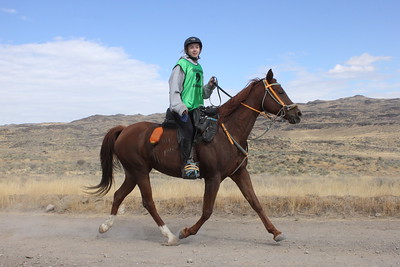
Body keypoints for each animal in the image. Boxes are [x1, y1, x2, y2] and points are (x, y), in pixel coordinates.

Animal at [86, 69, 300, 245]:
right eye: (280, 91)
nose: (297, 113)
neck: (227, 130)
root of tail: (123, 130)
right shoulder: (213, 177)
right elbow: (207, 211)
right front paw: (186, 232)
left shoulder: (239, 173)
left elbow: (256, 203)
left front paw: (276, 232)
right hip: (139, 172)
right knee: (148, 202)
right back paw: (170, 236)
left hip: (133, 173)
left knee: (118, 194)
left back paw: (105, 227)